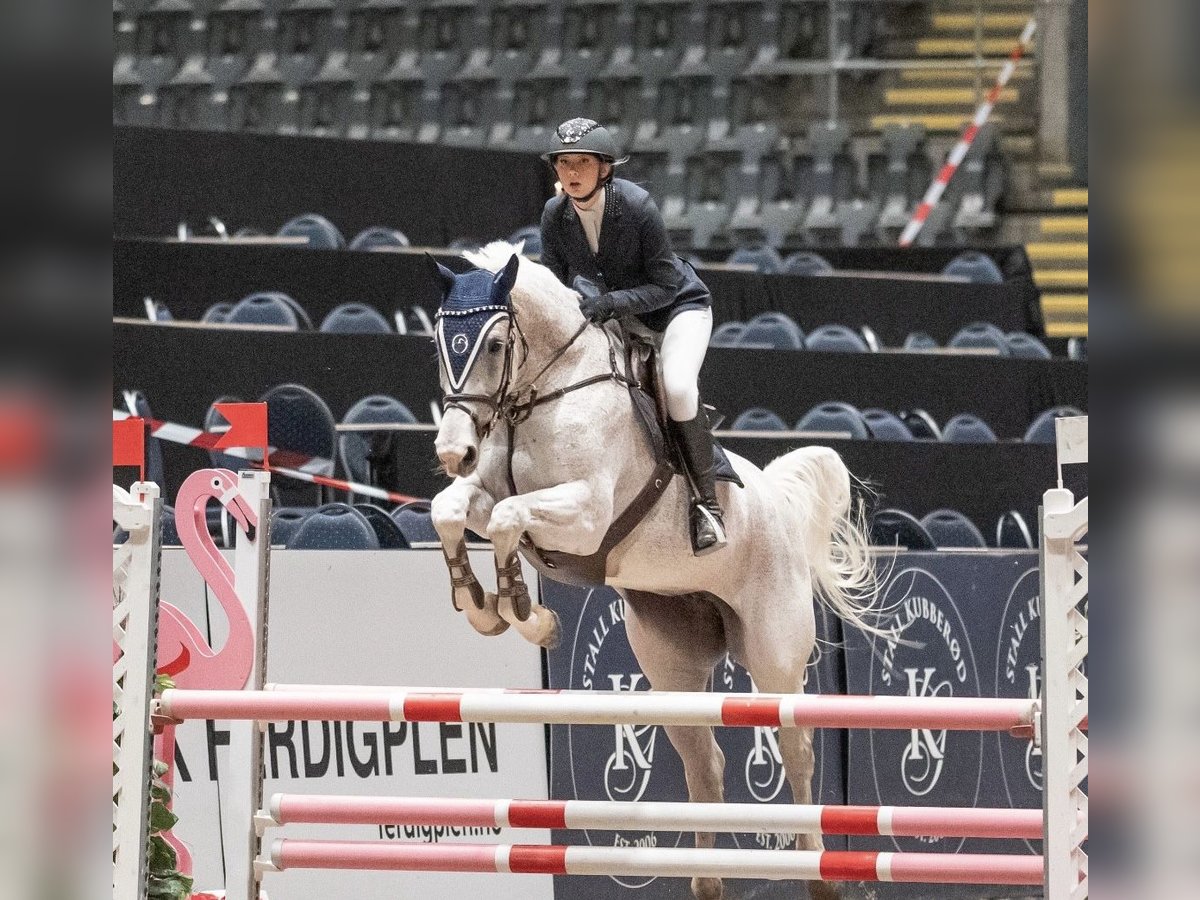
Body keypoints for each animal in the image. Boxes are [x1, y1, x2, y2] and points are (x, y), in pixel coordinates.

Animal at [427, 241, 878, 900]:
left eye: (493, 343)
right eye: (441, 341)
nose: (451, 451)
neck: (542, 394)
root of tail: (777, 505)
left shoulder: (586, 515)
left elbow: (510, 518)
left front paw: (527, 614)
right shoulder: (487, 496)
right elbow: (451, 510)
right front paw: (484, 607)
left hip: (775, 655)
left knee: (797, 749)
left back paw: (818, 876)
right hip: (671, 668)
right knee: (705, 764)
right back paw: (708, 882)